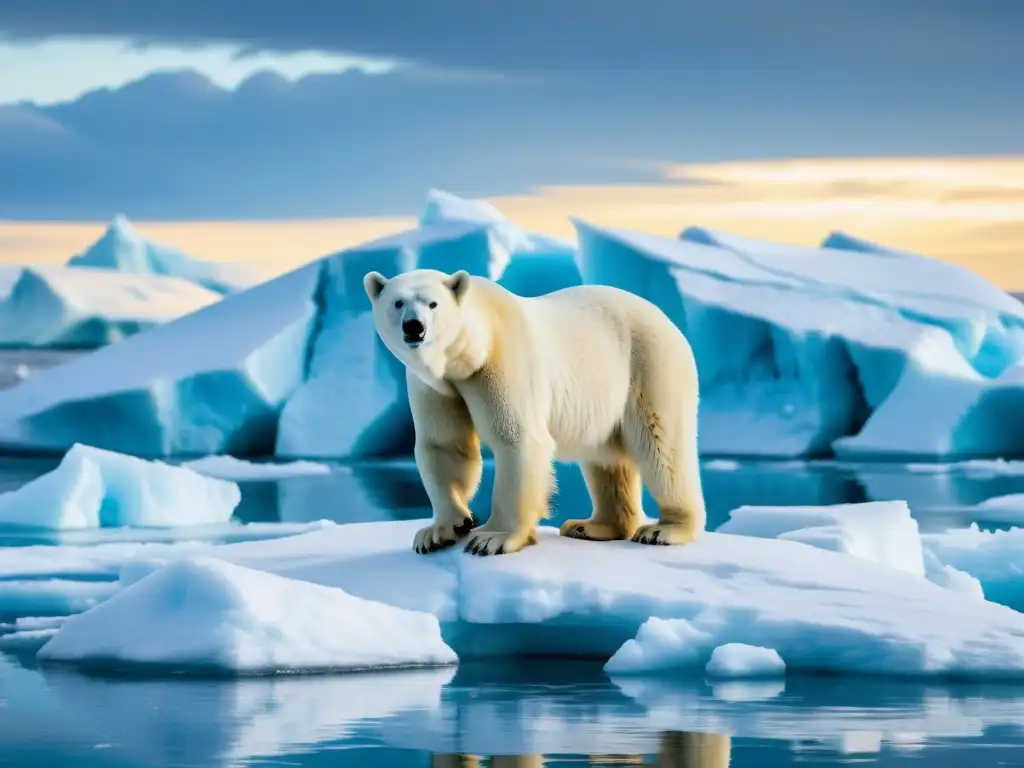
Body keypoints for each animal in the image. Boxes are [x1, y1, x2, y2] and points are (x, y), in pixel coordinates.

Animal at [363, 267, 705, 557]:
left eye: (433, 304)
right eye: (398, 302)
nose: (414, 327)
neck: (472, 350)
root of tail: (669, 322)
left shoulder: (501, 362)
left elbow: (517, 439)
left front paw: (491, 538)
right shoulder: (436, 386)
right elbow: (444, 445)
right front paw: (441, 530)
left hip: (650, 365)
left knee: (660, 446)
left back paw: (664, 529)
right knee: (606, 457)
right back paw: (591, 526)